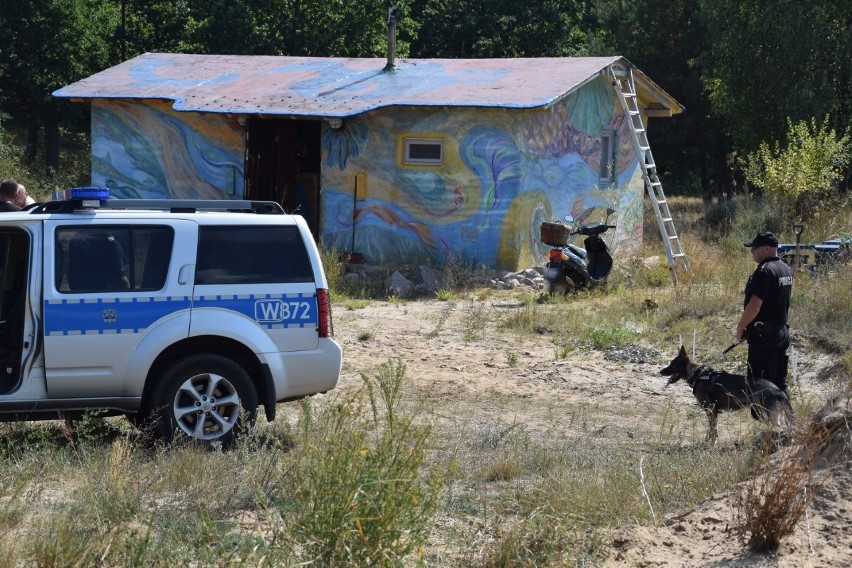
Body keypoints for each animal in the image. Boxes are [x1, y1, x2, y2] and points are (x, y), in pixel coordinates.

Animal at [664, 346, 796, 444]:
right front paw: (708, 441)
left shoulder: (710, 411)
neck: (697, 375)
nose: (661, 371)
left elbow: (712, 430)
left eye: (673, 364)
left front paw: (711, 444)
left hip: (768, 415)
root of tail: (777, 390)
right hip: (776, 416)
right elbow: (711, 430)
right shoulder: (714, 413)